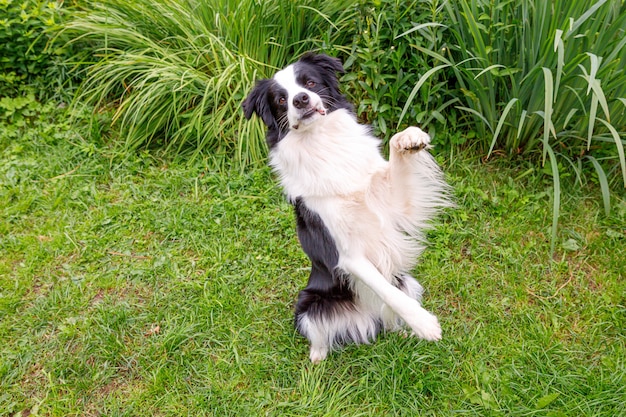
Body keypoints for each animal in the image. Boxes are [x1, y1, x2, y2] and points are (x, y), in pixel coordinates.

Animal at [241, 52, 450, 360]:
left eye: (309, 83)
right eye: (281, 99)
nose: (300, 99)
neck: (321, 142)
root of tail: (365, 317)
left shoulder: (393, 208)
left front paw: (409, 138)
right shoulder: (348, 254)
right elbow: (385, 290)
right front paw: (424, 324)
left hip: (407, 280)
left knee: (389, 318)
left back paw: (400, 332)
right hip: (308, 304)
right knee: (320, 333)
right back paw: (317, 357)